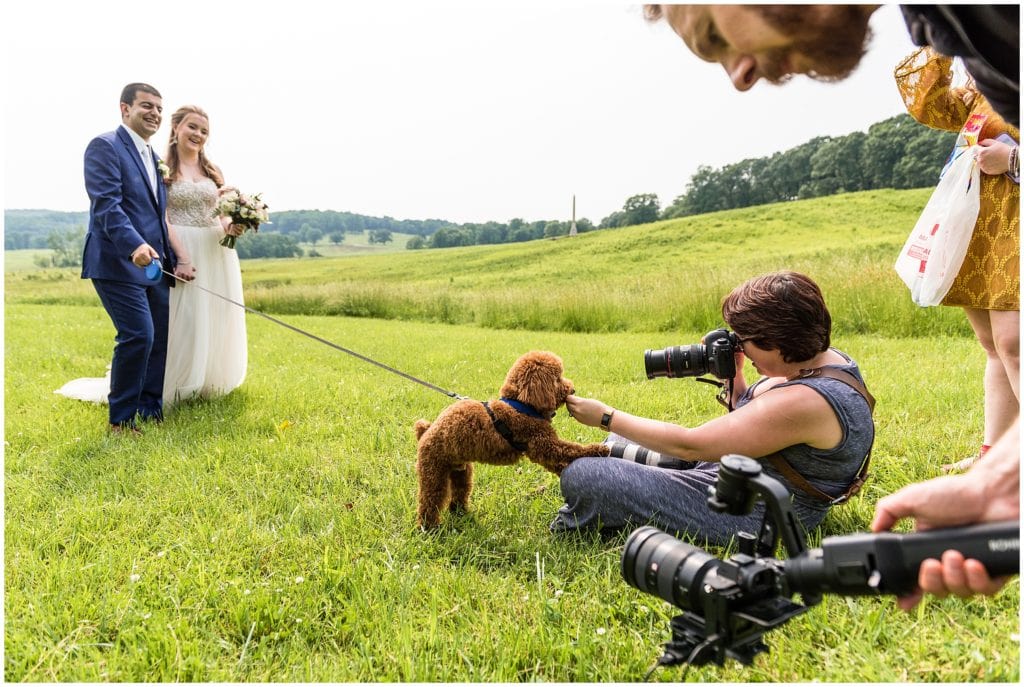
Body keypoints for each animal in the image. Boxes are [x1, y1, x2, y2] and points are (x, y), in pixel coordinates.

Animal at [413, 352, 606, 528]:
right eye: (557, 379)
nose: (572, 390)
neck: (522, 405)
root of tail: (426, 432)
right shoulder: (543, 444)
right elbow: (571, 449)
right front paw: (599, 450)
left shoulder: (539, 448)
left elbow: (556, 461)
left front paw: (563, 471)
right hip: (434, 470)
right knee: (430, 500)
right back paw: (430, 528)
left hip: (461, 471)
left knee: (459, 492)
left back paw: (462, 513)